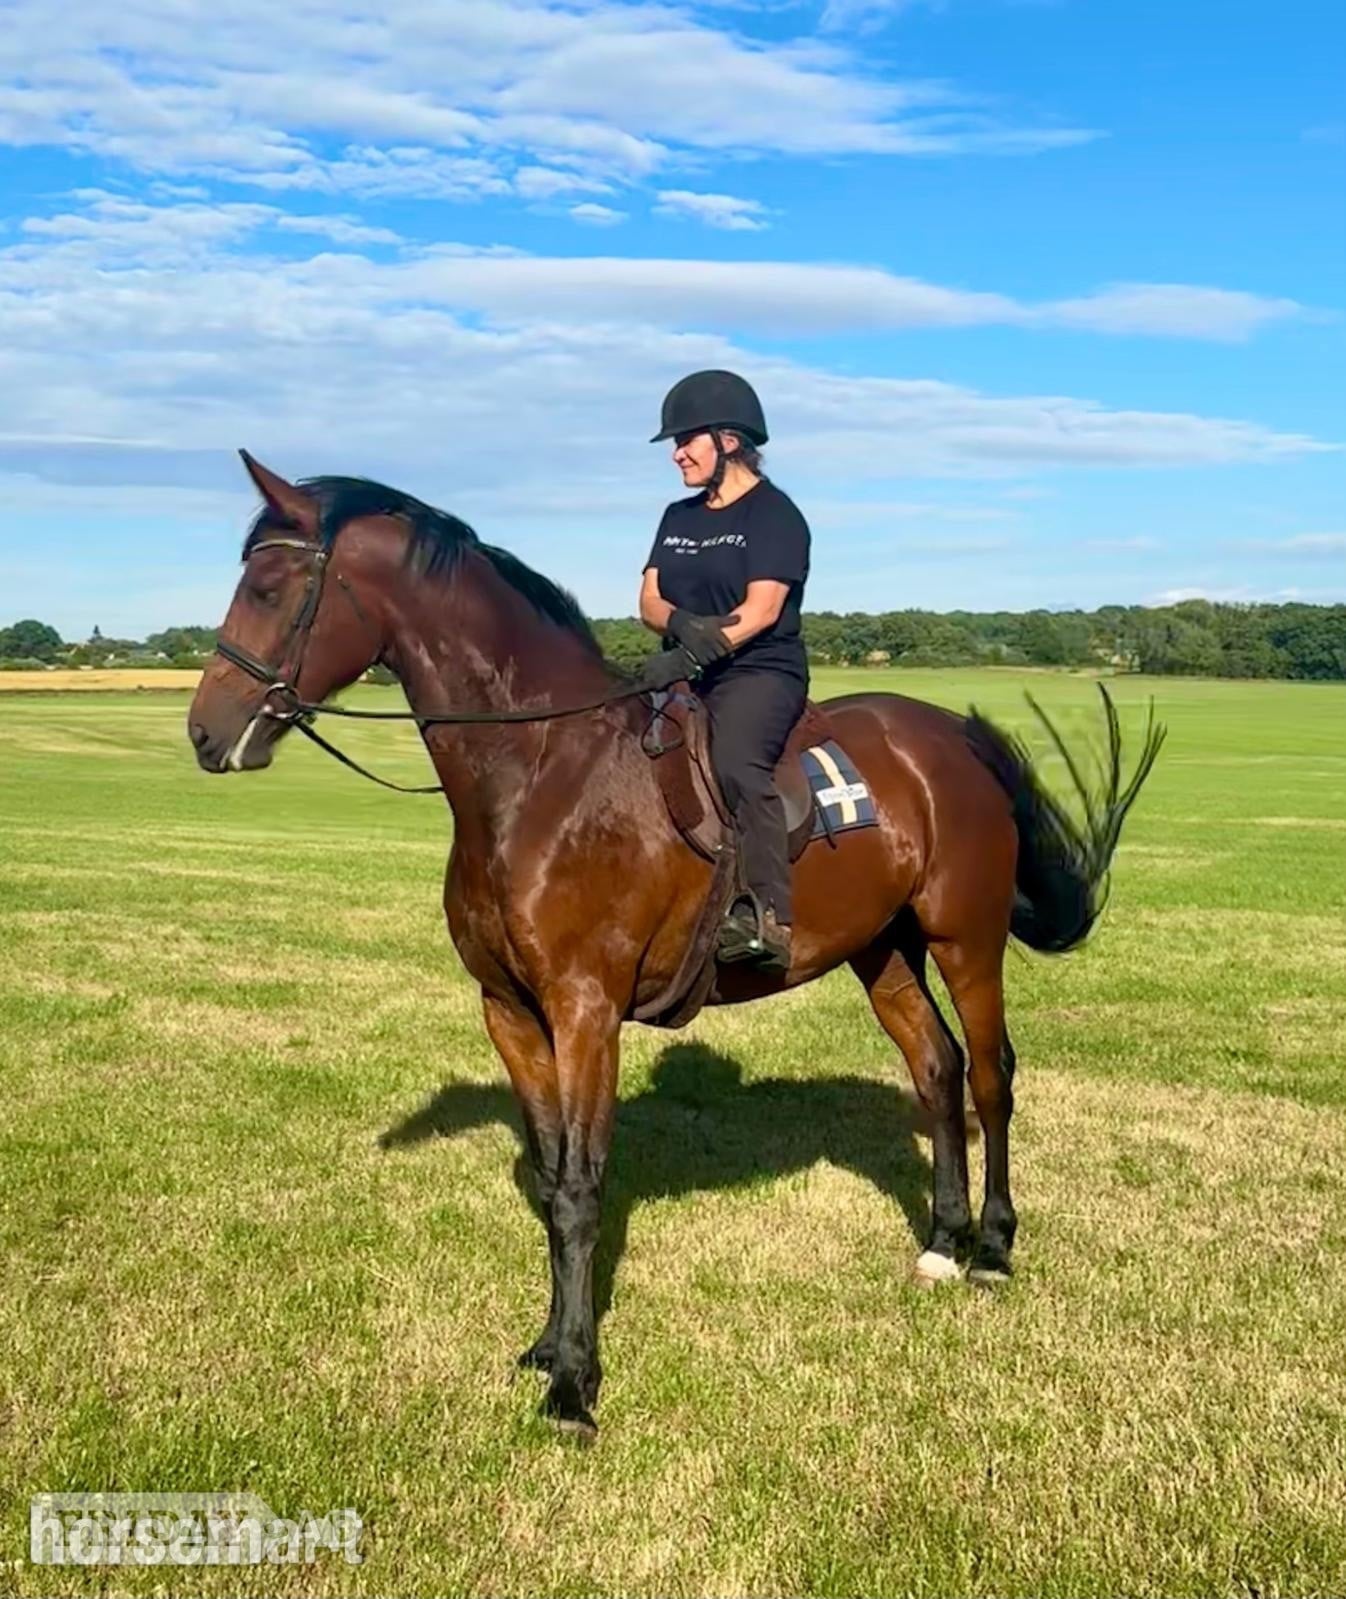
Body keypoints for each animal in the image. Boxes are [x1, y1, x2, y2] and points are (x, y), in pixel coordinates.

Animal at [188, 453, 1163, 1438]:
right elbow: (550, 1180)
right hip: (884, 951)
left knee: (992, 1075)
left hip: (965, 939)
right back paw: (942, 1241)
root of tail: (950, 734)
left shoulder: (586, 1014)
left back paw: (994, 1246)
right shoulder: (511, 1014)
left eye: (267, 587)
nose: (203, 732)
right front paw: (548, 1345)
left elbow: (581, 1190)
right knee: (938, 1068)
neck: (542, 773)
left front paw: (574, 1385)